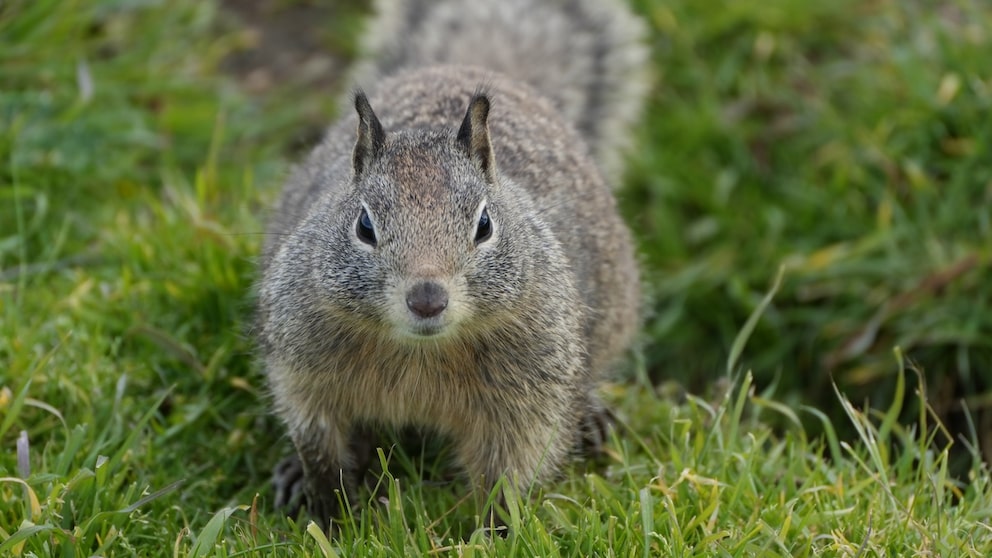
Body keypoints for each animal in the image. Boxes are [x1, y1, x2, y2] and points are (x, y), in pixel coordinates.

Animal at [252, 0, 648, 532]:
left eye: (484, 224)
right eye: (364, 225)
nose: (426, 299)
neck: (421, 354)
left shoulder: (529, 397)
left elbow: (509, 472)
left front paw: (498, 533)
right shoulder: (303, 367)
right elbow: (321, 448)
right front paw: (333, 517)